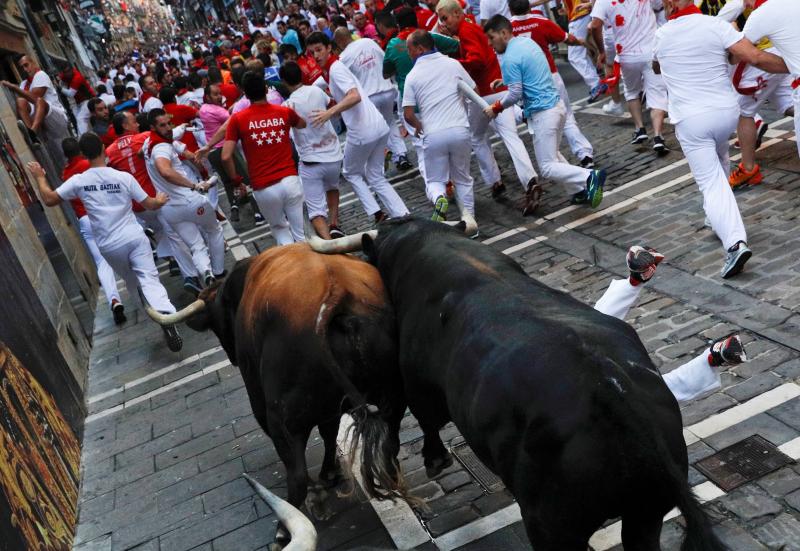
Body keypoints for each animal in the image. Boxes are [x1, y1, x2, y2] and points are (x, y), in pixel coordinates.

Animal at [354, 219, 720, 551]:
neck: (425, 239)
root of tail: (611, 390)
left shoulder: (417, 381)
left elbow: (427, 419)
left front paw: (434, 460)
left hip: (551, 526)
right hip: (645, 512)